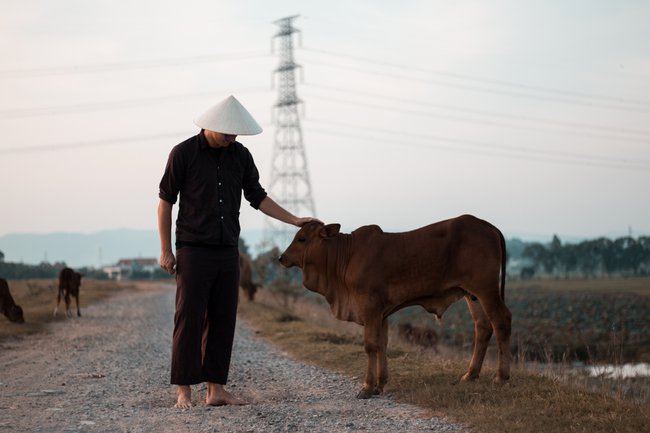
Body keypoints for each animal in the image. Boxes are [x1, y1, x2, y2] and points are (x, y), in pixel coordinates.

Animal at [278, 214, 512, 396]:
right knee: (483, 327)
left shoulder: (370, 307)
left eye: (302, 239)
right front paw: (380, 384)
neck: (346, 257)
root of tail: (487, 226)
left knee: (501, 321)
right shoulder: (381, 312)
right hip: (472, 295)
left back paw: (501, 377)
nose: (282, 258)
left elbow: (371, 344)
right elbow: (382, 343)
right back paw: (471, 374)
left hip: (486, 290)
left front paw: (367, 387)